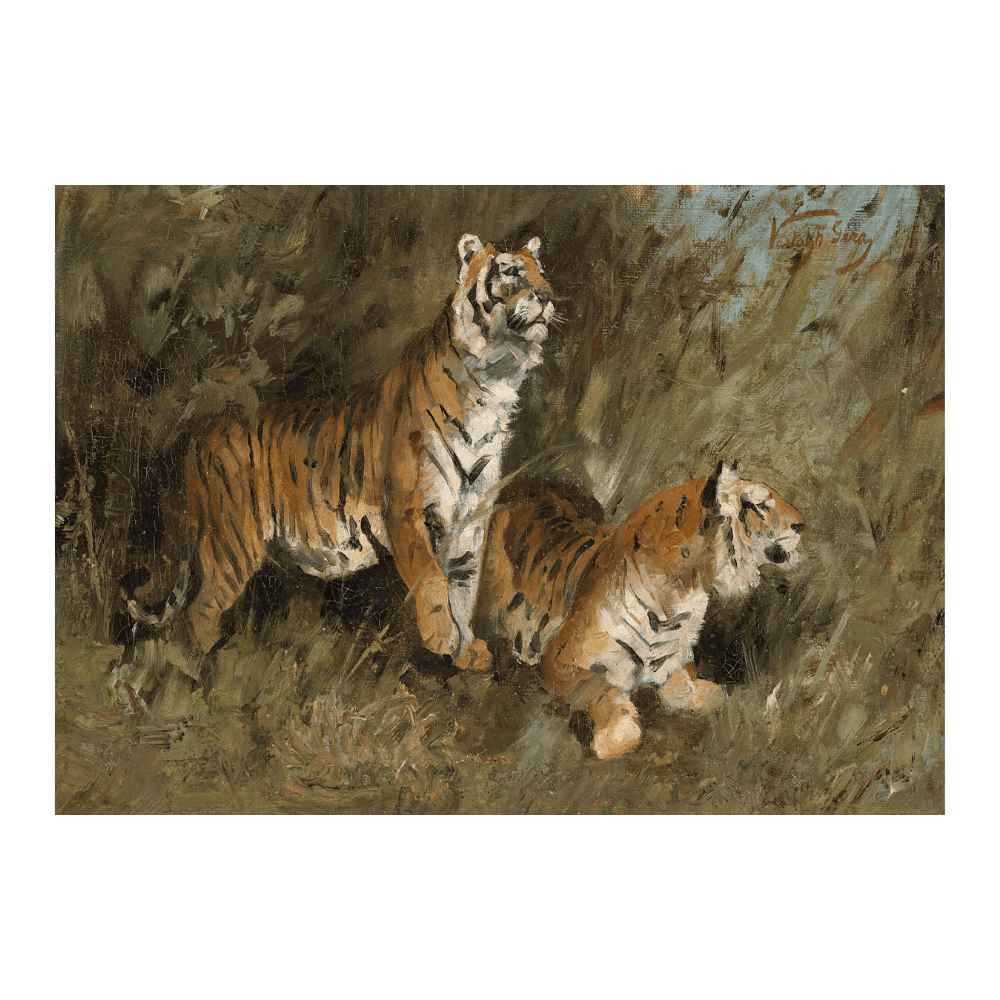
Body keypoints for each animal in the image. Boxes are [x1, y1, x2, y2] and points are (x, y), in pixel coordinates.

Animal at [126, 234, 555, 672]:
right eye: (510, 272)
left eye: (542, 273)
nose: (547, 296)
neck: (495, 377)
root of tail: (202, 433)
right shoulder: (407, 510)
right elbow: (433, 578)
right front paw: (441, 639)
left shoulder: (471, 518)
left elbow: (464, 587)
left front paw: (467, 651)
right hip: (231, 542)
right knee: (199, 614)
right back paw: (201, 670)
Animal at [475, 462, 805, 758]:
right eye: (757, 505)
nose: (802, 523)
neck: (681, 591)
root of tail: (531, 478)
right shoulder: (560, 659)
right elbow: (601, 688)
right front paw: (615, 736)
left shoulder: (674, 660)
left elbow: (693, 687)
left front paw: (707, 695)